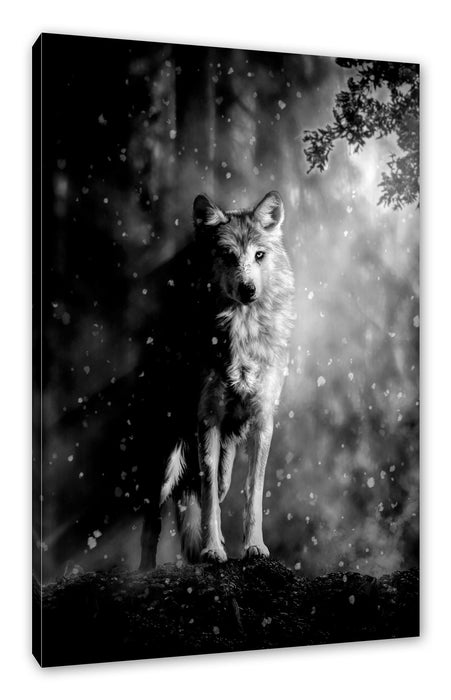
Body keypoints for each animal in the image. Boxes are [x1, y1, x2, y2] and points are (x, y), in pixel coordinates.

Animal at [139, 191, 294, 569]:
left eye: (258, 255)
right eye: (228, 255)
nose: (248, 289)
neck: (243, 330)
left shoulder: (262, 421)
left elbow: (253, 494)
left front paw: (254, 547)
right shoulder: (207, 420)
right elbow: (208, 498)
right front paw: (212, 551)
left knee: (215, 488)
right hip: (164, 459)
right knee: (155, 520)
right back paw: (145, 570)